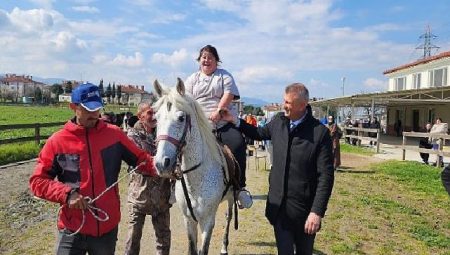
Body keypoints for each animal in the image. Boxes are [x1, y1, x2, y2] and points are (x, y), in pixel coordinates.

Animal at [152, 77, 236, 255]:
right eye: (156, 118)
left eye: (181, 118)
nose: (161, 163)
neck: (196, 179)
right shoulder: (189, 220)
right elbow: (192, 248)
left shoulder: (207, 221)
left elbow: (203, 250)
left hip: (232, 198)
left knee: (229, 216)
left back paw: (224, 247)